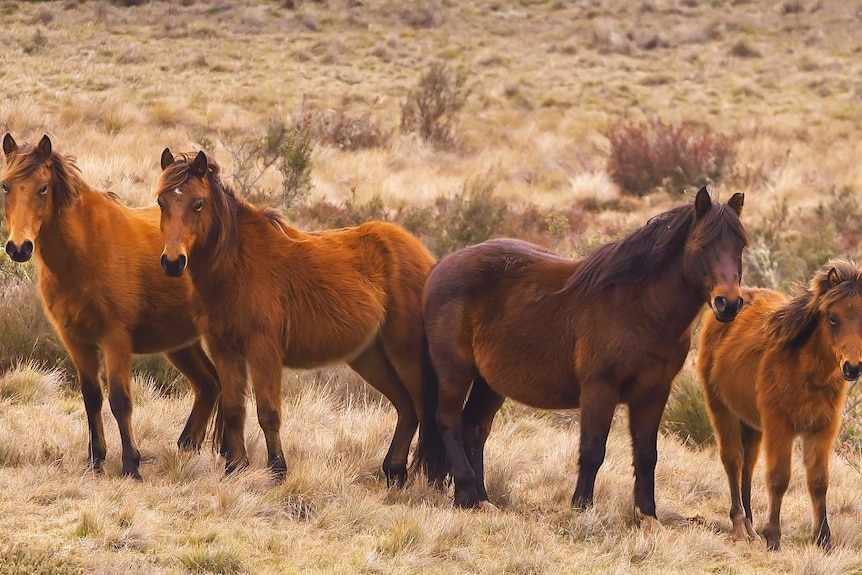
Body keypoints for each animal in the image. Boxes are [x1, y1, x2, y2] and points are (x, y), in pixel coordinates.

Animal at [2, 134, 223, 476]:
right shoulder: (76, 341)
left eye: (43, 187)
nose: (18, 247)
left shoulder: (114, 339)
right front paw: (96, 461)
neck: (86, 250)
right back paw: (187, 447)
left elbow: (120, 400)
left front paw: (131, 464)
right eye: (5, 186)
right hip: (180, 344)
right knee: (208, 384)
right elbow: (92, 398)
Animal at [154, 148, 446, 486]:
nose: (173, 262)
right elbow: (234, 409)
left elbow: (268, 411)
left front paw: (277, 470)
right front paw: (235, 468)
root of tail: (424, 256)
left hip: (406, 355)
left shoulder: (263, 351)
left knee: (425, 410)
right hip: (369, 357)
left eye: (198, 203)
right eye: (161, 202)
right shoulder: (225, 350)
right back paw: (394, 472)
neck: (236, 264)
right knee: (407, 408)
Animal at [422, 187, 744, 520]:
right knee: (448, 421)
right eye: (703, 245)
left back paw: (482, 498)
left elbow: (647, 454)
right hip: (455, 371)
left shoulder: (654, 393)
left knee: (474, 428)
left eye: (740, 245)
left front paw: (647, 514)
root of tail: (440, 266)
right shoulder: (599, 388)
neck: (638, 307)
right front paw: (581, 508)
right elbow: (592, 450)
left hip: (490, 382)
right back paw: (465, 491)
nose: (728, 303)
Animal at [700, 262, 862, 552]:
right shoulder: (780, 425)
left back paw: (750, 525)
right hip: (721, 409)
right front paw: (773, 537)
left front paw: (824, 539)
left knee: (748, 465)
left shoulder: (822, 428)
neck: (807, 372)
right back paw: (739, 525)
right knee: (733, 459)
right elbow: (779, 477)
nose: (853, 368)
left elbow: (819, 481)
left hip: (751, 423)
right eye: (833, 318)